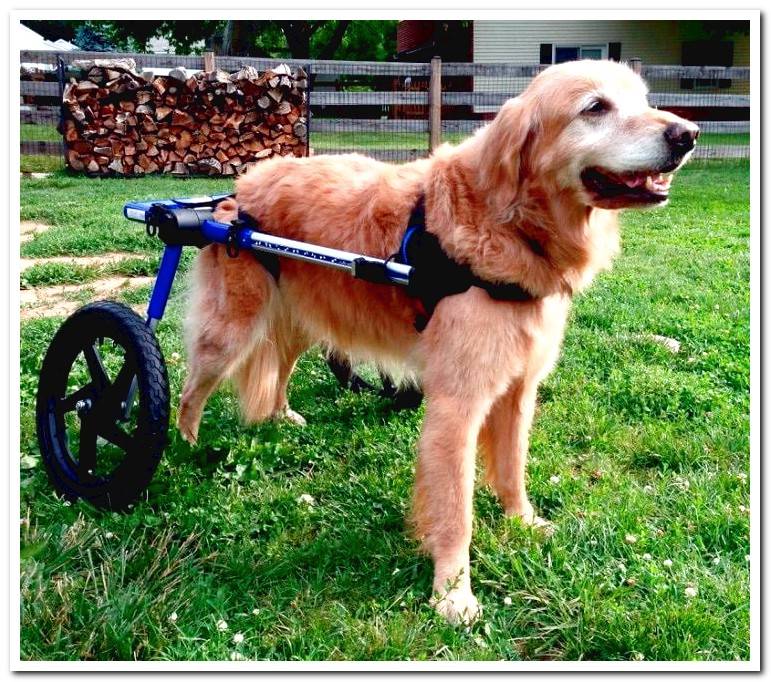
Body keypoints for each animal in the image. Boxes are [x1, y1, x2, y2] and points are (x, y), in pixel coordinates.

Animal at [176, 61, 700, 624]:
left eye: (642, 99)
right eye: (596, 107)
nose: (689, 134)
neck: (509, 225)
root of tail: (240, 186)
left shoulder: (519, 391)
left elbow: (512, 469)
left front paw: (522, 521)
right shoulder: (456, 406)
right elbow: (456, 512)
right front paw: (452, 593)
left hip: (300, 321)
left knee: (278, 370)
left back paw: (279, 416)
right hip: (229, 333)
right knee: (189, 392)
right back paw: (185, 448)